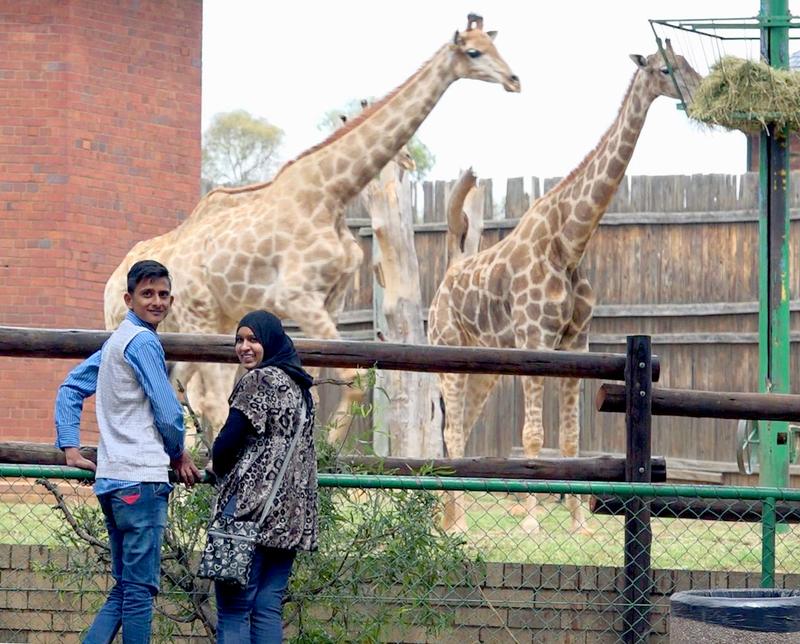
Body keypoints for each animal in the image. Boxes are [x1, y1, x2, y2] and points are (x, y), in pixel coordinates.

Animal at [104, 12, 520, 442]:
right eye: (474, 52)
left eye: (495, 46)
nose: (513, 79)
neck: (331, 194)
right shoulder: (294, 295)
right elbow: (351, 380)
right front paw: (328, 447)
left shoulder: (329, 300)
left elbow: (320, 383)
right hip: (198, 318)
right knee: (206, 397)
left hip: (212, 322)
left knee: (186, 390)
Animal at [424, 41, 700, 532]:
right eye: (666, 69)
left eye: (687, 65)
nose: (700, 90)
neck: (570, 242)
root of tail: (451, 268)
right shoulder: (535, 338)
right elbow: (533, 437)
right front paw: (532, 524)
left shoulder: (576, 342)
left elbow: (571, 439)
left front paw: (579, 524)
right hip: (447, 352)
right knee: (453, 433)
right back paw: (457, 524)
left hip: (483, 368)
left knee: (459, 431)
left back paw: (447, 519)